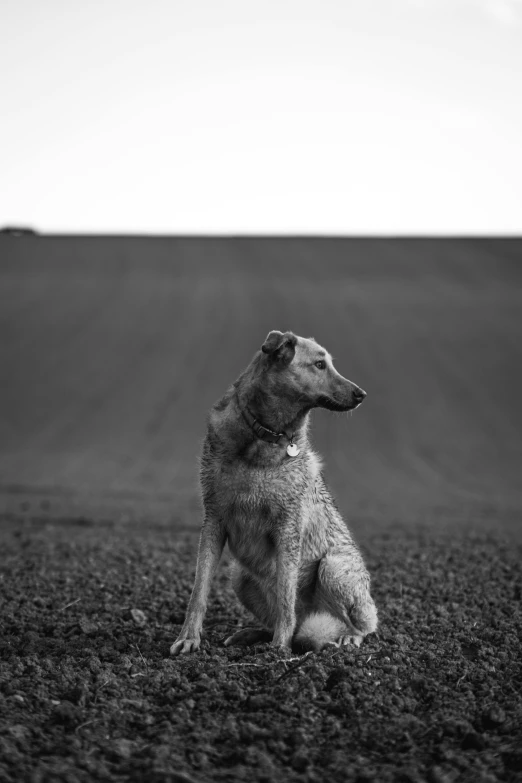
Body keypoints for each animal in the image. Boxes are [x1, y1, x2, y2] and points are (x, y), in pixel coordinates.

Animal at [169, 330, 376, 656]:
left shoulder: (288, 528)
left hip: (332, 567)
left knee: (361, 625)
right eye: (319, 364)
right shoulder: (213, 519)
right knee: (291, 620)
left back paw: (345, 638)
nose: (362, 394)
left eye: (328, 363)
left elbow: (285, 597)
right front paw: (188, 638)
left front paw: (280, 648)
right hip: (239, 575)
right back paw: (253, 634)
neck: (265, 436)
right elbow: (199, 591)